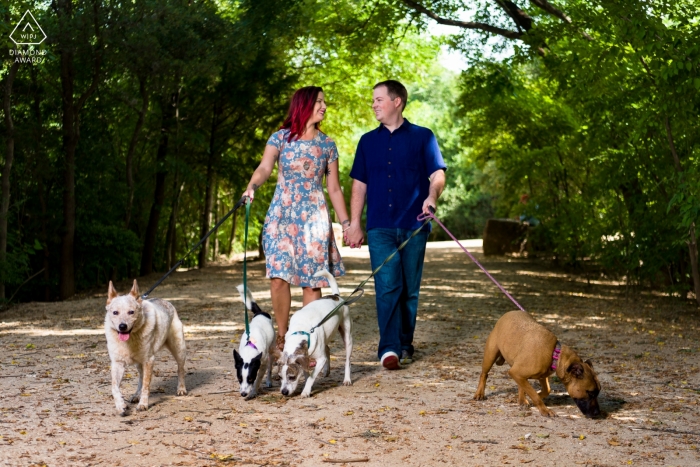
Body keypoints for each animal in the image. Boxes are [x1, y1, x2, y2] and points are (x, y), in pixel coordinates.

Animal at [104, 280, 186, 414]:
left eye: (131, 312)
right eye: (115, 312)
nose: (122, 326)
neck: (131, 339)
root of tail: (166, 301)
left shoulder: (149, 360)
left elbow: (146, 386)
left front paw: (143, 404)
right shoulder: (117, 363)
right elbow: (114, 387)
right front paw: (121, 405)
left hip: (179, 349)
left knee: (180, 369)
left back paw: (181, 389)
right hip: (139, 363)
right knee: (140, 379)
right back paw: (136, 395)